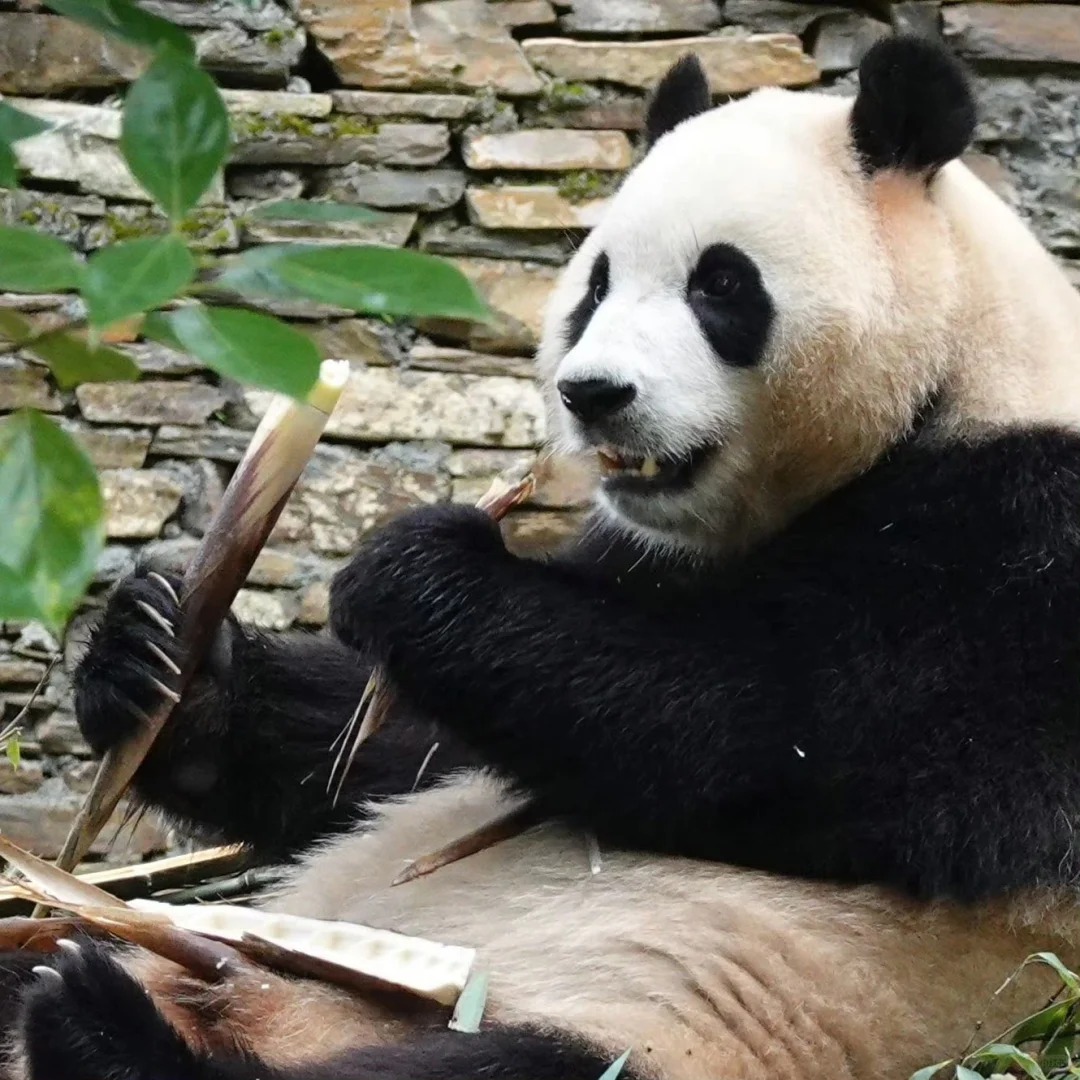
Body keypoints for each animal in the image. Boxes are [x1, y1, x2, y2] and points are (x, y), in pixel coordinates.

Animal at [6, 31, 1080, 1080]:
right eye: (595, 285)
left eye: (721, 285)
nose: (593, 393)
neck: (962, 374)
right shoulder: (642, 551)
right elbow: (414, 753)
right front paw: (157, 657)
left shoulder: (1018, 549)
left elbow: (772, 737)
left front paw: (413, 572)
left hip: (692, 1027)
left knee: (509, 1067)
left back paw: (100, 1030)